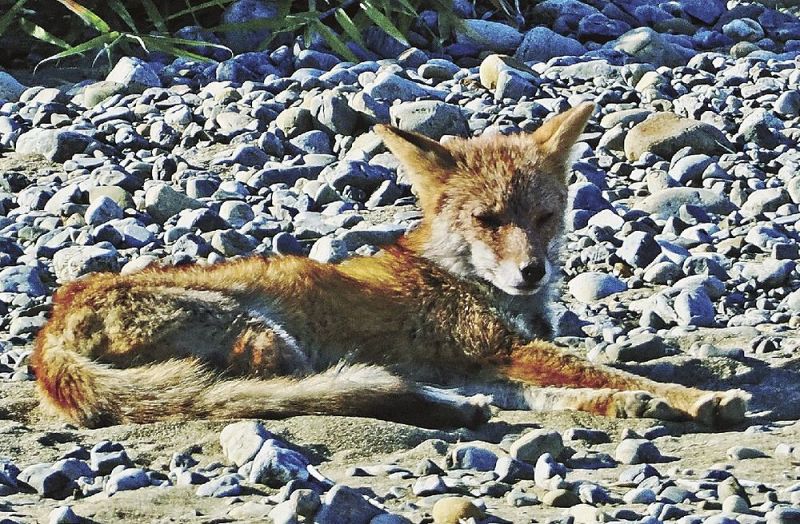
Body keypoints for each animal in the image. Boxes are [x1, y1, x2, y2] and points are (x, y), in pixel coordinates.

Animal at [28, 103, 748, 430]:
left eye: (544, 218)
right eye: (489, 220)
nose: (532, 273)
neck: (460, 275)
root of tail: (50, 328)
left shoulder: (486, 363)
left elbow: (575, 389)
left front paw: (625, 403)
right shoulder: (501, 349)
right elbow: (614, 372)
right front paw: (693, 398)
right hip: (270, 338)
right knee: (291, 394)